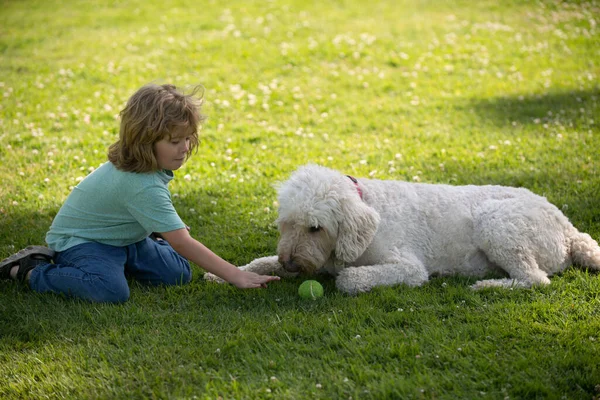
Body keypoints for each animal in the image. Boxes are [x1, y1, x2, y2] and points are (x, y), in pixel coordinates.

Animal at [206, 163, 600, 294]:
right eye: (287, 225)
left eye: (316, 228)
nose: (290, 263)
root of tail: (569, 229)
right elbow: (261, 262)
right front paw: (225, 273)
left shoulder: (409, 268)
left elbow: (350, 278)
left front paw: (347, 277)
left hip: (499, 224)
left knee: (535, 280)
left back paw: (489, 286)